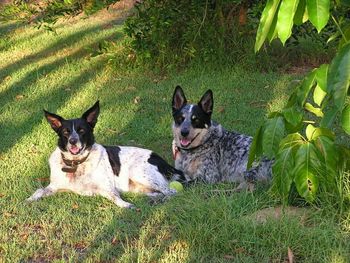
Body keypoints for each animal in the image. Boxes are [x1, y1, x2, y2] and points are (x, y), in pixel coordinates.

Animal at [26, 101, 180, 208]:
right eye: (65, 132)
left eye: (82, 130)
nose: (73, 141)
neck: (77, 163)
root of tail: (164, 162)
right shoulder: (54, 186)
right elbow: (38, 191)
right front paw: (28, 200)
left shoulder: (106, 188)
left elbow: (115, 197)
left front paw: (126, 205)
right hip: (138, 187)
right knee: (160, 193)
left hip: (138, 173)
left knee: (172, 192)